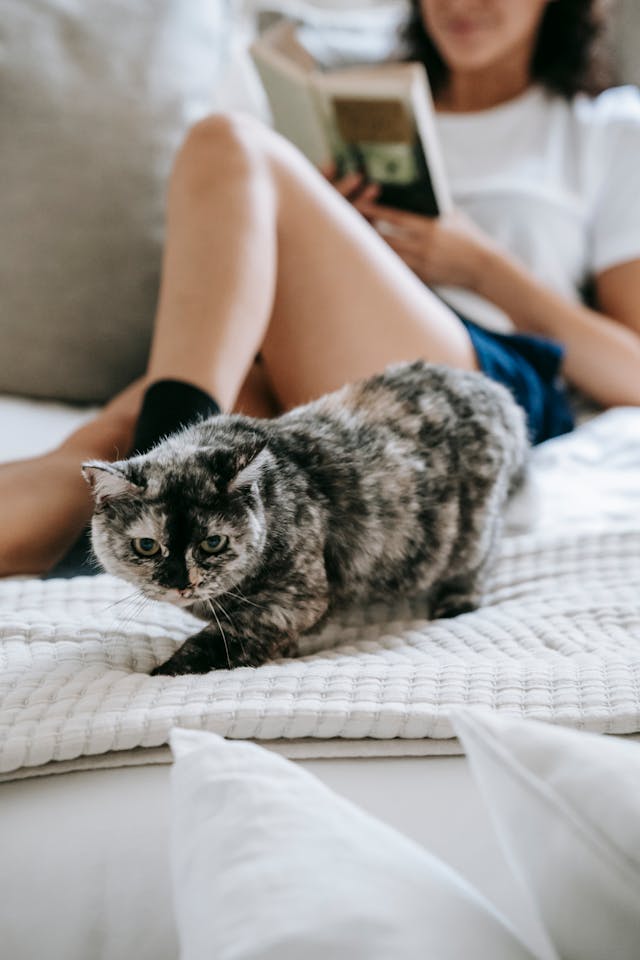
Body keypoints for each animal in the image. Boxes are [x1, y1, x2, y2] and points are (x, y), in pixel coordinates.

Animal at [82, 360, 528, 676]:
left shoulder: (294, 601)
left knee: (478, 562)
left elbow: (221, 641)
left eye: (213, 543)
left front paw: (166, 672)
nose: (180, 582)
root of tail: (495, 392)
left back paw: (455, 600)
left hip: (472, 532)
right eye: (147, 546)